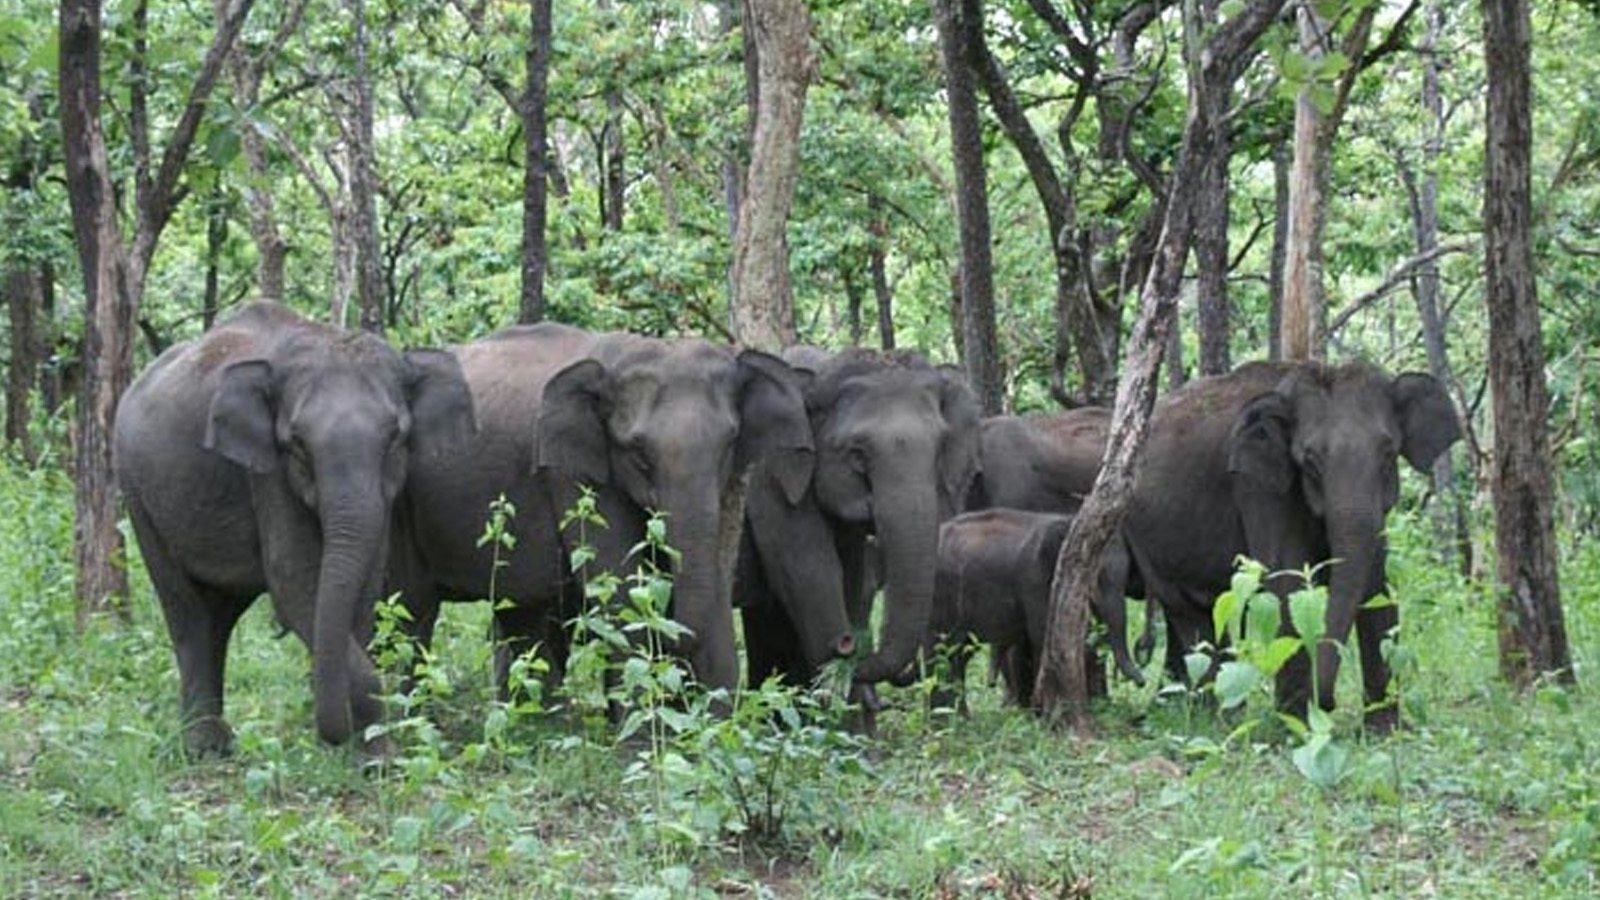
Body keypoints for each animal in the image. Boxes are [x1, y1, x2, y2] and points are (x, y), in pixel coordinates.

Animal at [113, 302, 473, 755]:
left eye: (396, 437)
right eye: (297, 444)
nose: (331, 735)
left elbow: (365, 580)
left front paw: (357, 749)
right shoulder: (265, 472)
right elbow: (295, 577)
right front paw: (374, 750)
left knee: (220, 614)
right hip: (137, 493)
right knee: (185, 608)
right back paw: (204, 748)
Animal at [385, 321, 851, 695]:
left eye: (730, 442)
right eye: (638, 453)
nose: (678, 643)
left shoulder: (736, 480)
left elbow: (718, 575)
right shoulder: (573, 471)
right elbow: (621, 587)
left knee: (518, 614)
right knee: (412, 607)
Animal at [739, 342, 985, 701]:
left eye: (940, 448)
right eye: (857, 454)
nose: (847, 643)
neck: (820, 372)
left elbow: (851, 579)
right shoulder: (770, 479)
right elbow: (809, 570)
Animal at [889, 506, 1139, 707]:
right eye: (1096, 577)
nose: (1142, 681)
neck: (1070, 521)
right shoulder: (1035, 580)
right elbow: (1041, 636)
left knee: (960, 653)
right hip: (939, 593)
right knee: (941, 649)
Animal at [1126, 358, 1465, 730]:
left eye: (1389, 453)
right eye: (1310, 461)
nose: (1328, 702)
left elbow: (1377, 588)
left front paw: (1385, 730)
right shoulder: (1257, 486)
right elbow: (1286, 581)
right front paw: (1296, 727)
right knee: (1191, 611)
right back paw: (1215, 718)